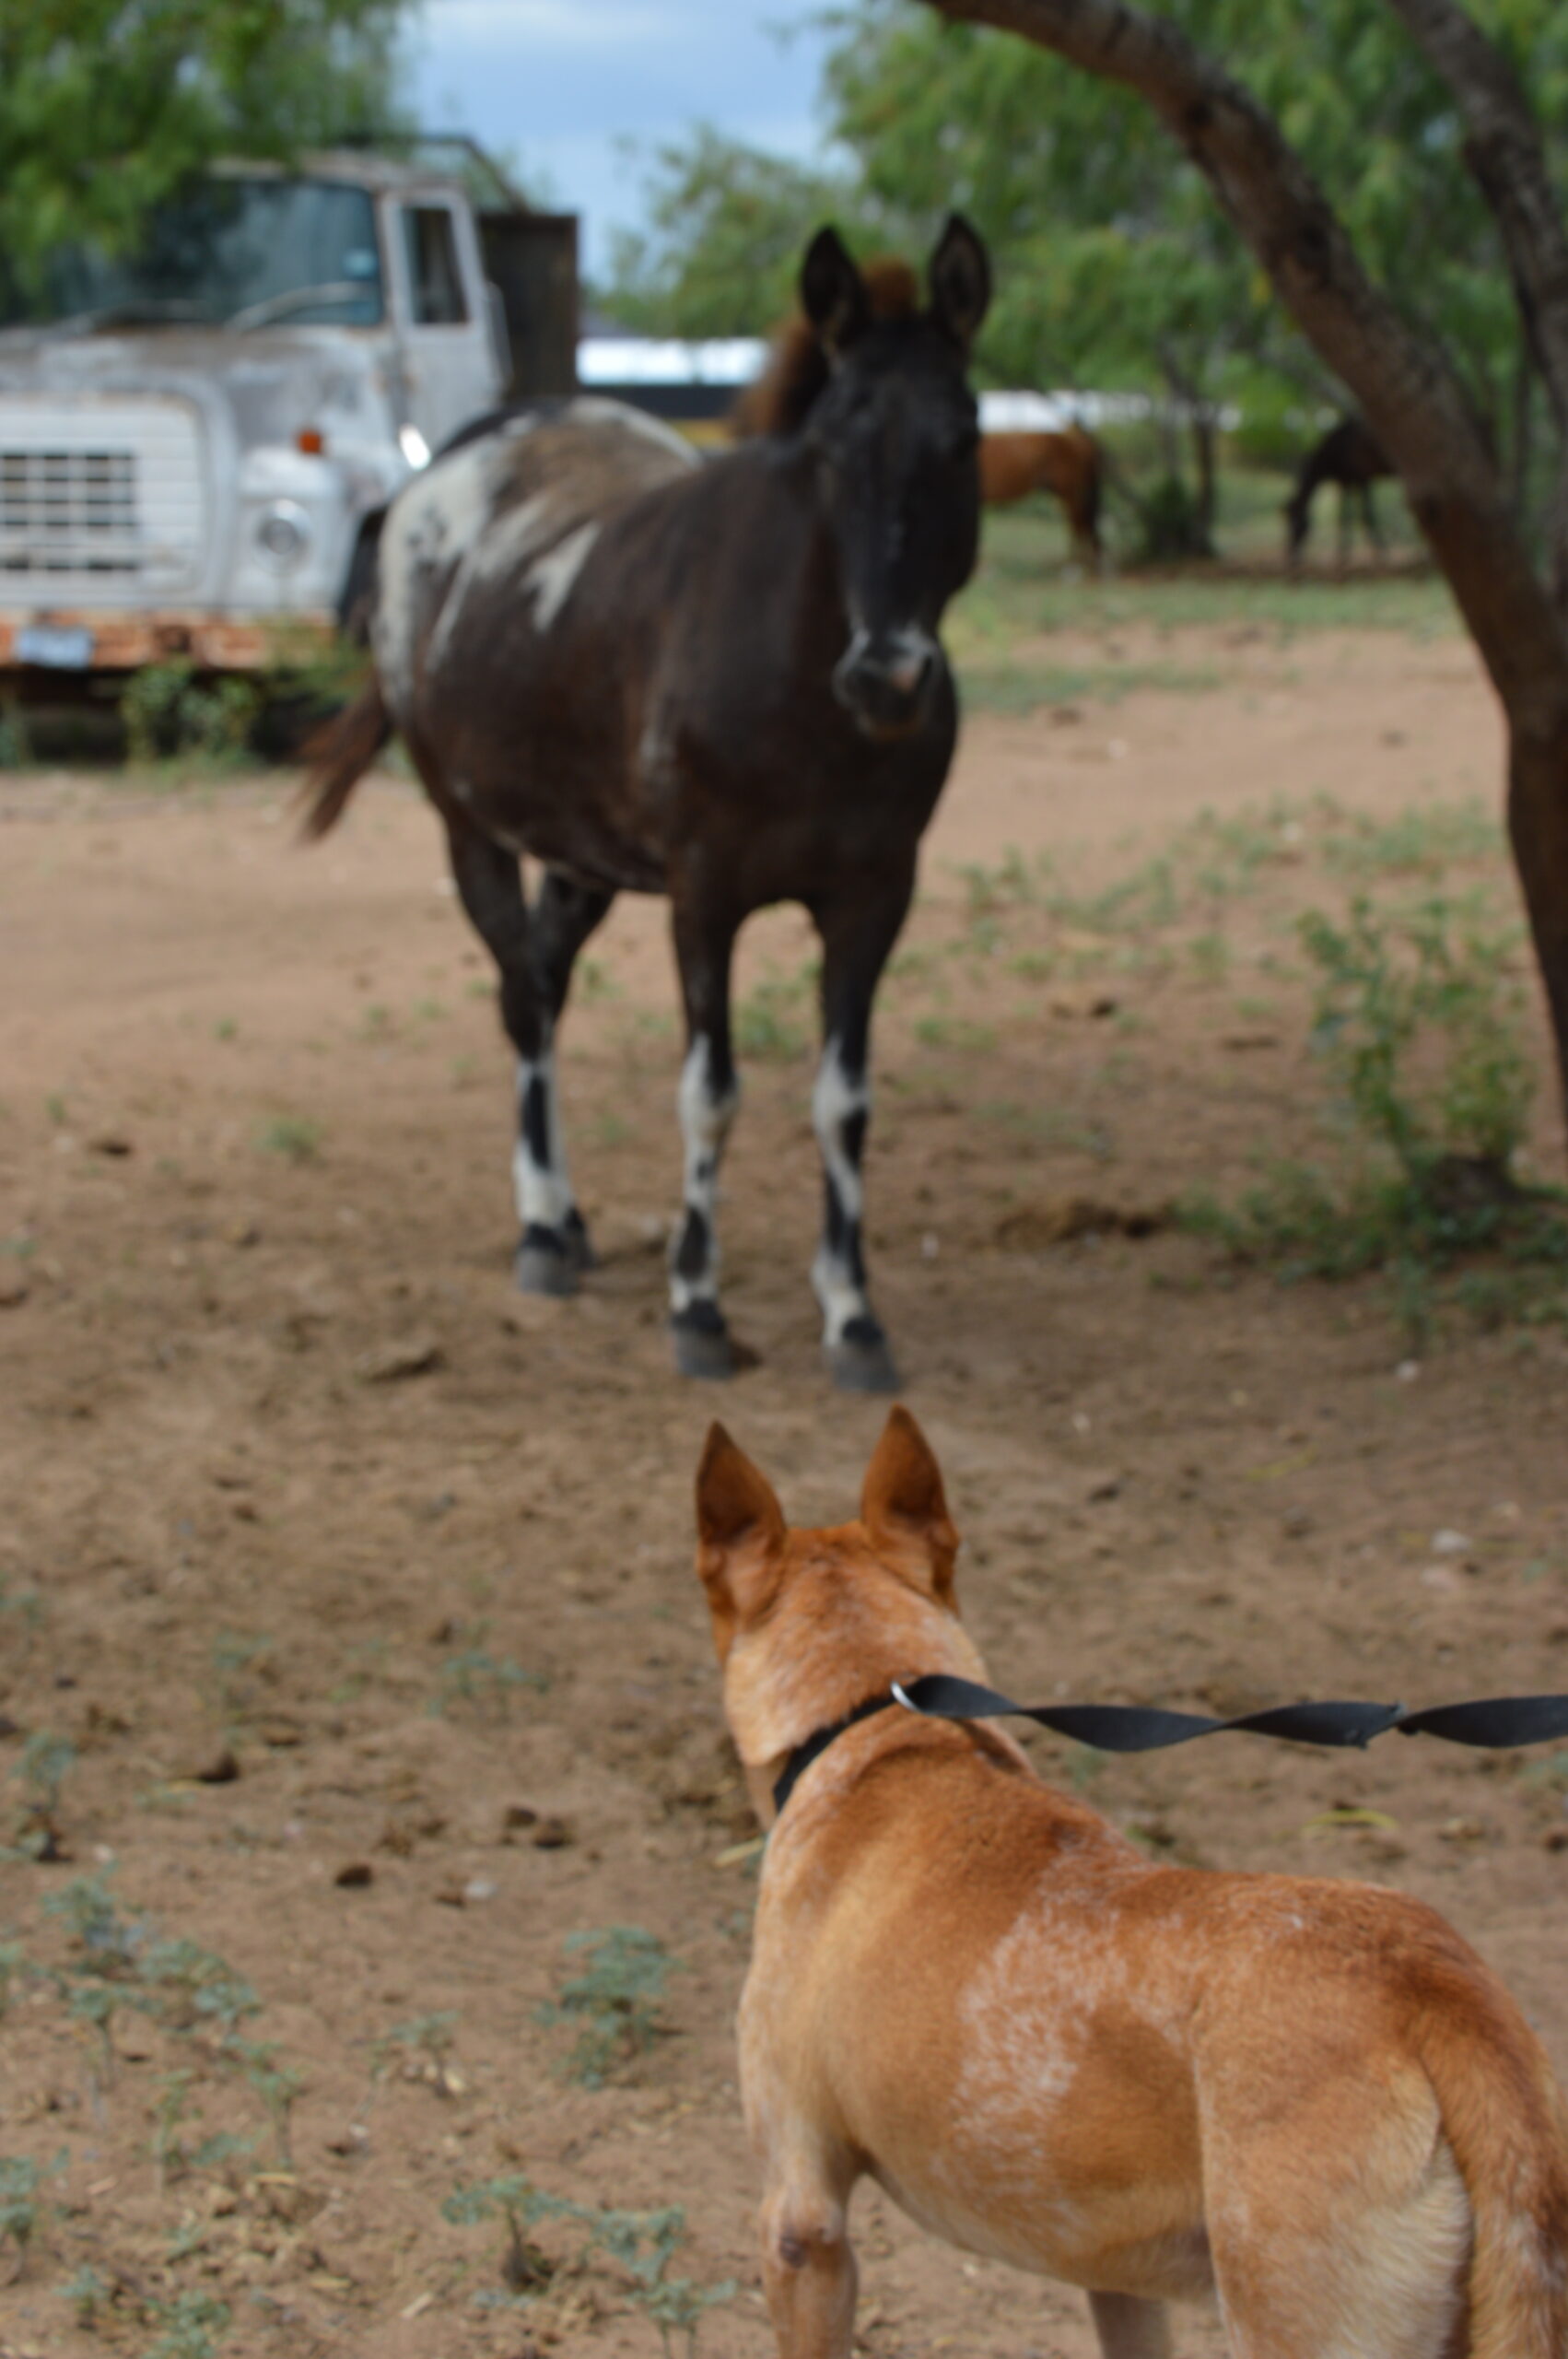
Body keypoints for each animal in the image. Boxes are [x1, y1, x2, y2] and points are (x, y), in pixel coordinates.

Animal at [301, 217, 989, 1378]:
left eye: (964, 439)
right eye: (832, 451)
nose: (888, 678)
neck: (800, 686)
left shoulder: (873, 899)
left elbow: (843, 1105)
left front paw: (851, 1312)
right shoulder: (703, 898)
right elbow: (709, 1095)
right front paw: (696, 1303)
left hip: (584, 858)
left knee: (541, 980)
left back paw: (571, 1220)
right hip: (469, 830)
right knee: (523, 999)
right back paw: (542, 1225)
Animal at [1282, 415, 1396, 561]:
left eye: (1296, 522)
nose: (1292, 557)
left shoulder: (1362, 479)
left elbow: (1367, 515)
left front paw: (1382, 553)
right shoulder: (1345, 482)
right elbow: (1343, 518)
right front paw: (1343, 554)